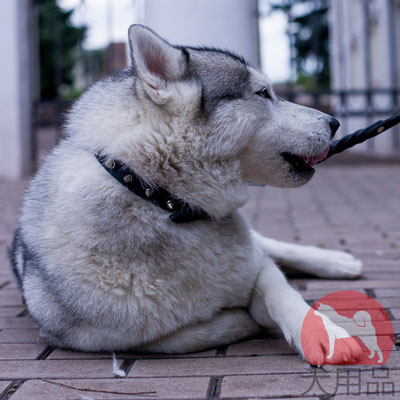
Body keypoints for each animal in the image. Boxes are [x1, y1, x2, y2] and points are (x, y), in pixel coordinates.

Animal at [9, 23, 364, 364]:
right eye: (263, 93)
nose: (335, 122)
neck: (159, 199)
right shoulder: (94, 338)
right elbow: (189, 334)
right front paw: (243, 318)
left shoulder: (258, 269)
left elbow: (282, 292)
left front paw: (325, 334)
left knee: (272, 246)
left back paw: (338, 262)